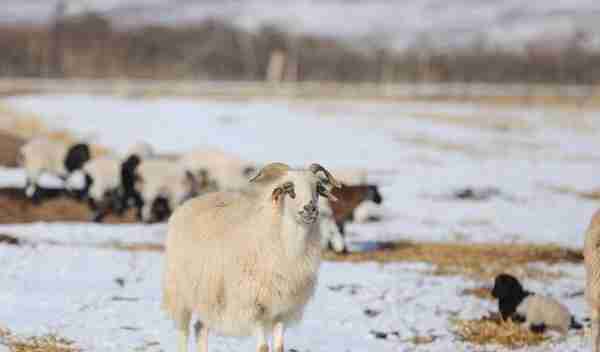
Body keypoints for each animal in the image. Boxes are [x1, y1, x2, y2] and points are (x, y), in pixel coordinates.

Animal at [162, 162, 340, 352]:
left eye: (318, 188)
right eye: (288, 188)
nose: (310, 209)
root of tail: (192, 202)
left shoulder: (283, 309)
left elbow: (279, 347)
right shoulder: (254, 306)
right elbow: (263, 347)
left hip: (209, 296)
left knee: (200, 329)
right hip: (180, 292)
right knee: (183, 331)